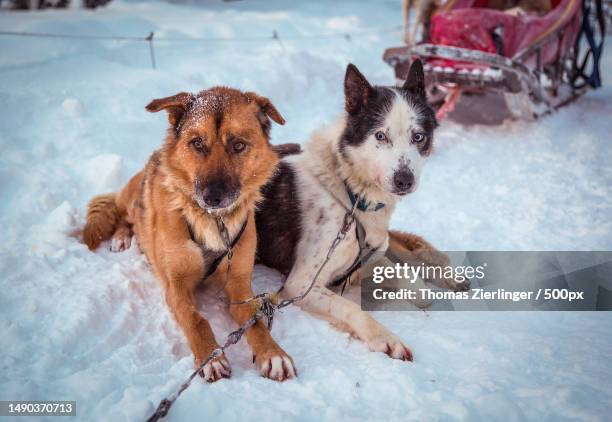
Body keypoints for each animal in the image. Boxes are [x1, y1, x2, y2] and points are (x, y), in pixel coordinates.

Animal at [82, 85, 298, 382]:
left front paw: (273, 353)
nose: (212, 197)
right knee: (123, 216)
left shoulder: (240, 288)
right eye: (197, 143)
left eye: (238, 145)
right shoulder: (176, 288)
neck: (212, 221)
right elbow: (197, 320)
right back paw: (122, 237)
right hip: (130, 199)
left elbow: (255, 323)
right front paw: (211, 357)